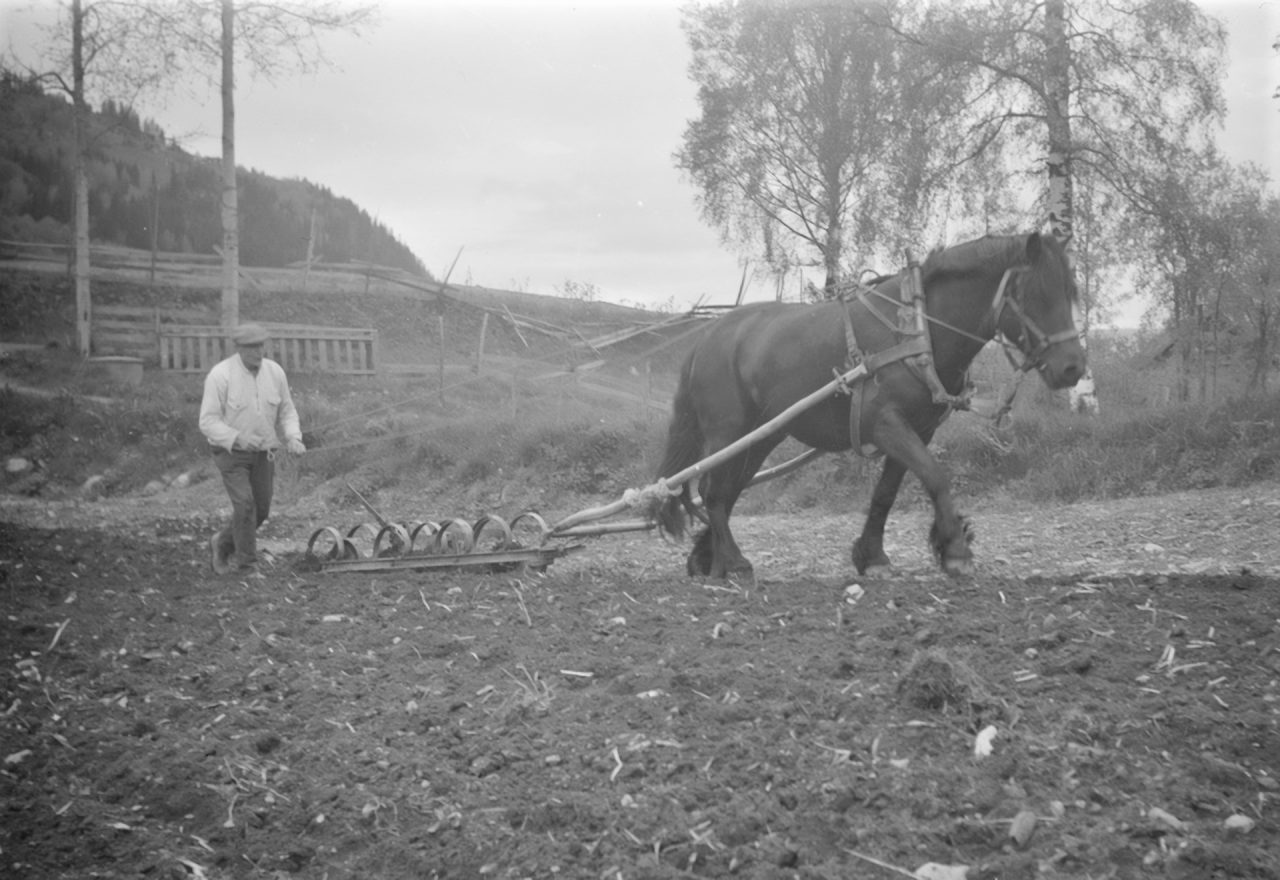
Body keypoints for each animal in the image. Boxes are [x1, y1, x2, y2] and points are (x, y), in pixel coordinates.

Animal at [660, 230, 1090, 580]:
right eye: (1036, 293)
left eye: (1071, 291)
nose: (1073, 367)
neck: (918, 328)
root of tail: (707, 336)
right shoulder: (886, 424)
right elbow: (936, 476)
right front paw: (955, 549)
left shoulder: (918, 429)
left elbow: (885, 493)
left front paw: (873, 557)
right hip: (727, 432)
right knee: (714, 492)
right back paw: (732, 564)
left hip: (761, 436)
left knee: (727, 492)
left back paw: (709, 560)